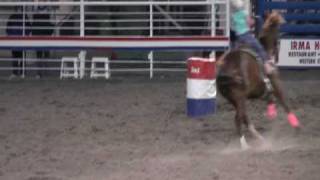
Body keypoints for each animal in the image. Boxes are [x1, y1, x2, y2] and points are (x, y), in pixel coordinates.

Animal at [216, 10, 302, 149]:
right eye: (278, 32)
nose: (276, 56)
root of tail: (224, 70)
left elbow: (271, 98)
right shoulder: (276, 82)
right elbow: (285, 103)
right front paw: (297, 126)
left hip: (234, 99)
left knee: (244, 117)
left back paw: (259, 137)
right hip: (239, 97)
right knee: (238, 119)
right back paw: (244, 145)